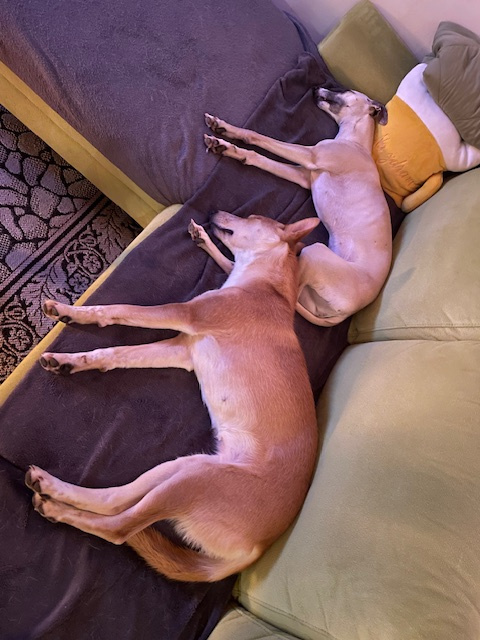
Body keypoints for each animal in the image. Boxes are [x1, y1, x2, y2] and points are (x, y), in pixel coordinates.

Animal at [26, 211, 320, 582]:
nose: (216, 213)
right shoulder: (182, 350)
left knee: (120, 527)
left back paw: (56, 509)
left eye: (252, 216)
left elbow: (117, 308)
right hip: (184, 466)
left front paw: (70, 311)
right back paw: (50, 486)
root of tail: (257, 550)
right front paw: (72, 361)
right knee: (115, 501)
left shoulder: (184, 315)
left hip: (194, 482)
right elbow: (116, 353)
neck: (269, 287)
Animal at [204, 88, 392, 326]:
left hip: (315, 253)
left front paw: (227, 134)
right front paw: (231, 148)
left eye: (346, 90)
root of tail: (346, 314)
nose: (315, 88)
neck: (355, 142)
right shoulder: (303, 175)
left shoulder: (312, 155)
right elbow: (259, 158)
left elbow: (257, 136)